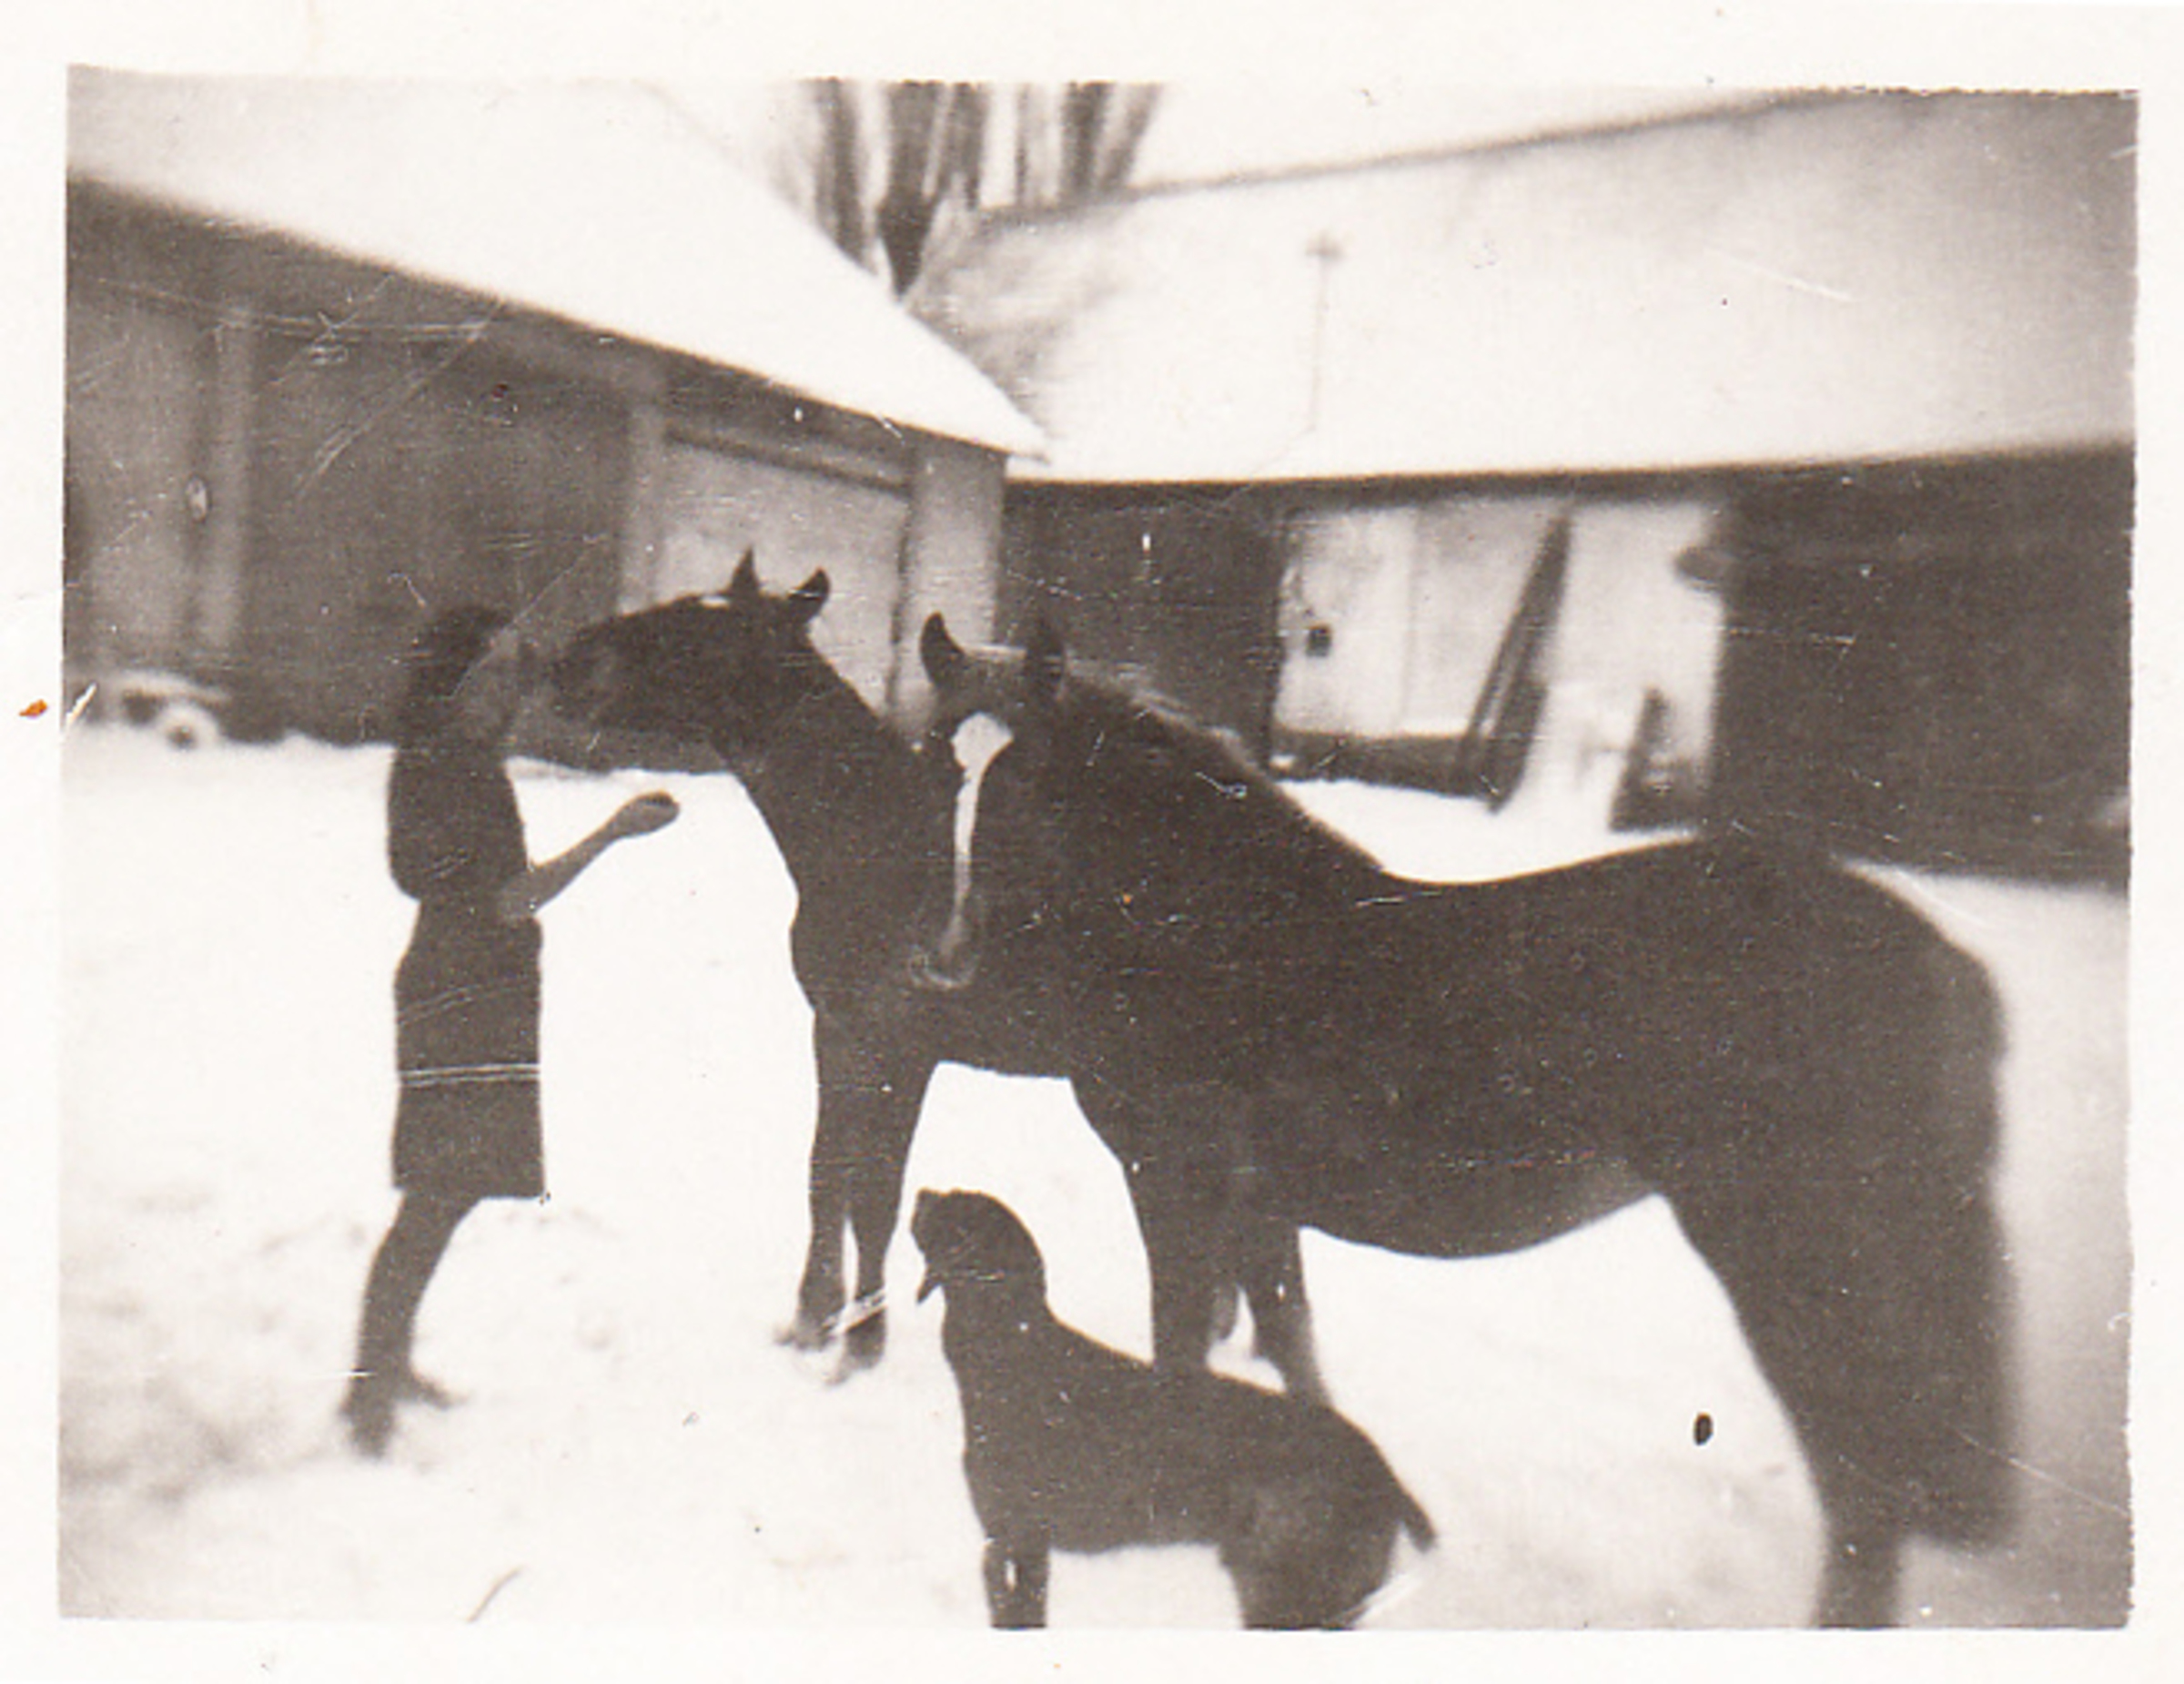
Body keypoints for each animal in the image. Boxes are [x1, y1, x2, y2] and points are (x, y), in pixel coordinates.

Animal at [547, 555, 1317, 1383]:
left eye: (701, 635)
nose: (564, 664)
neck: (876, 853)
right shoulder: (838, 1034)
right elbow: (826, 1176)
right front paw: (811, 1322)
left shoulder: (901, 1051)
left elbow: (874, 1196)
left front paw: (861, 1346)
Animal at [911, 1188, 1437, 1628]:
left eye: (948, 1208)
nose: (920, 1192)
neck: (1010, 1346)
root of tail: (1383, 1474)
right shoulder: (1019, 1545)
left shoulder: (1019, 1538)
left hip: (1288, 1594)